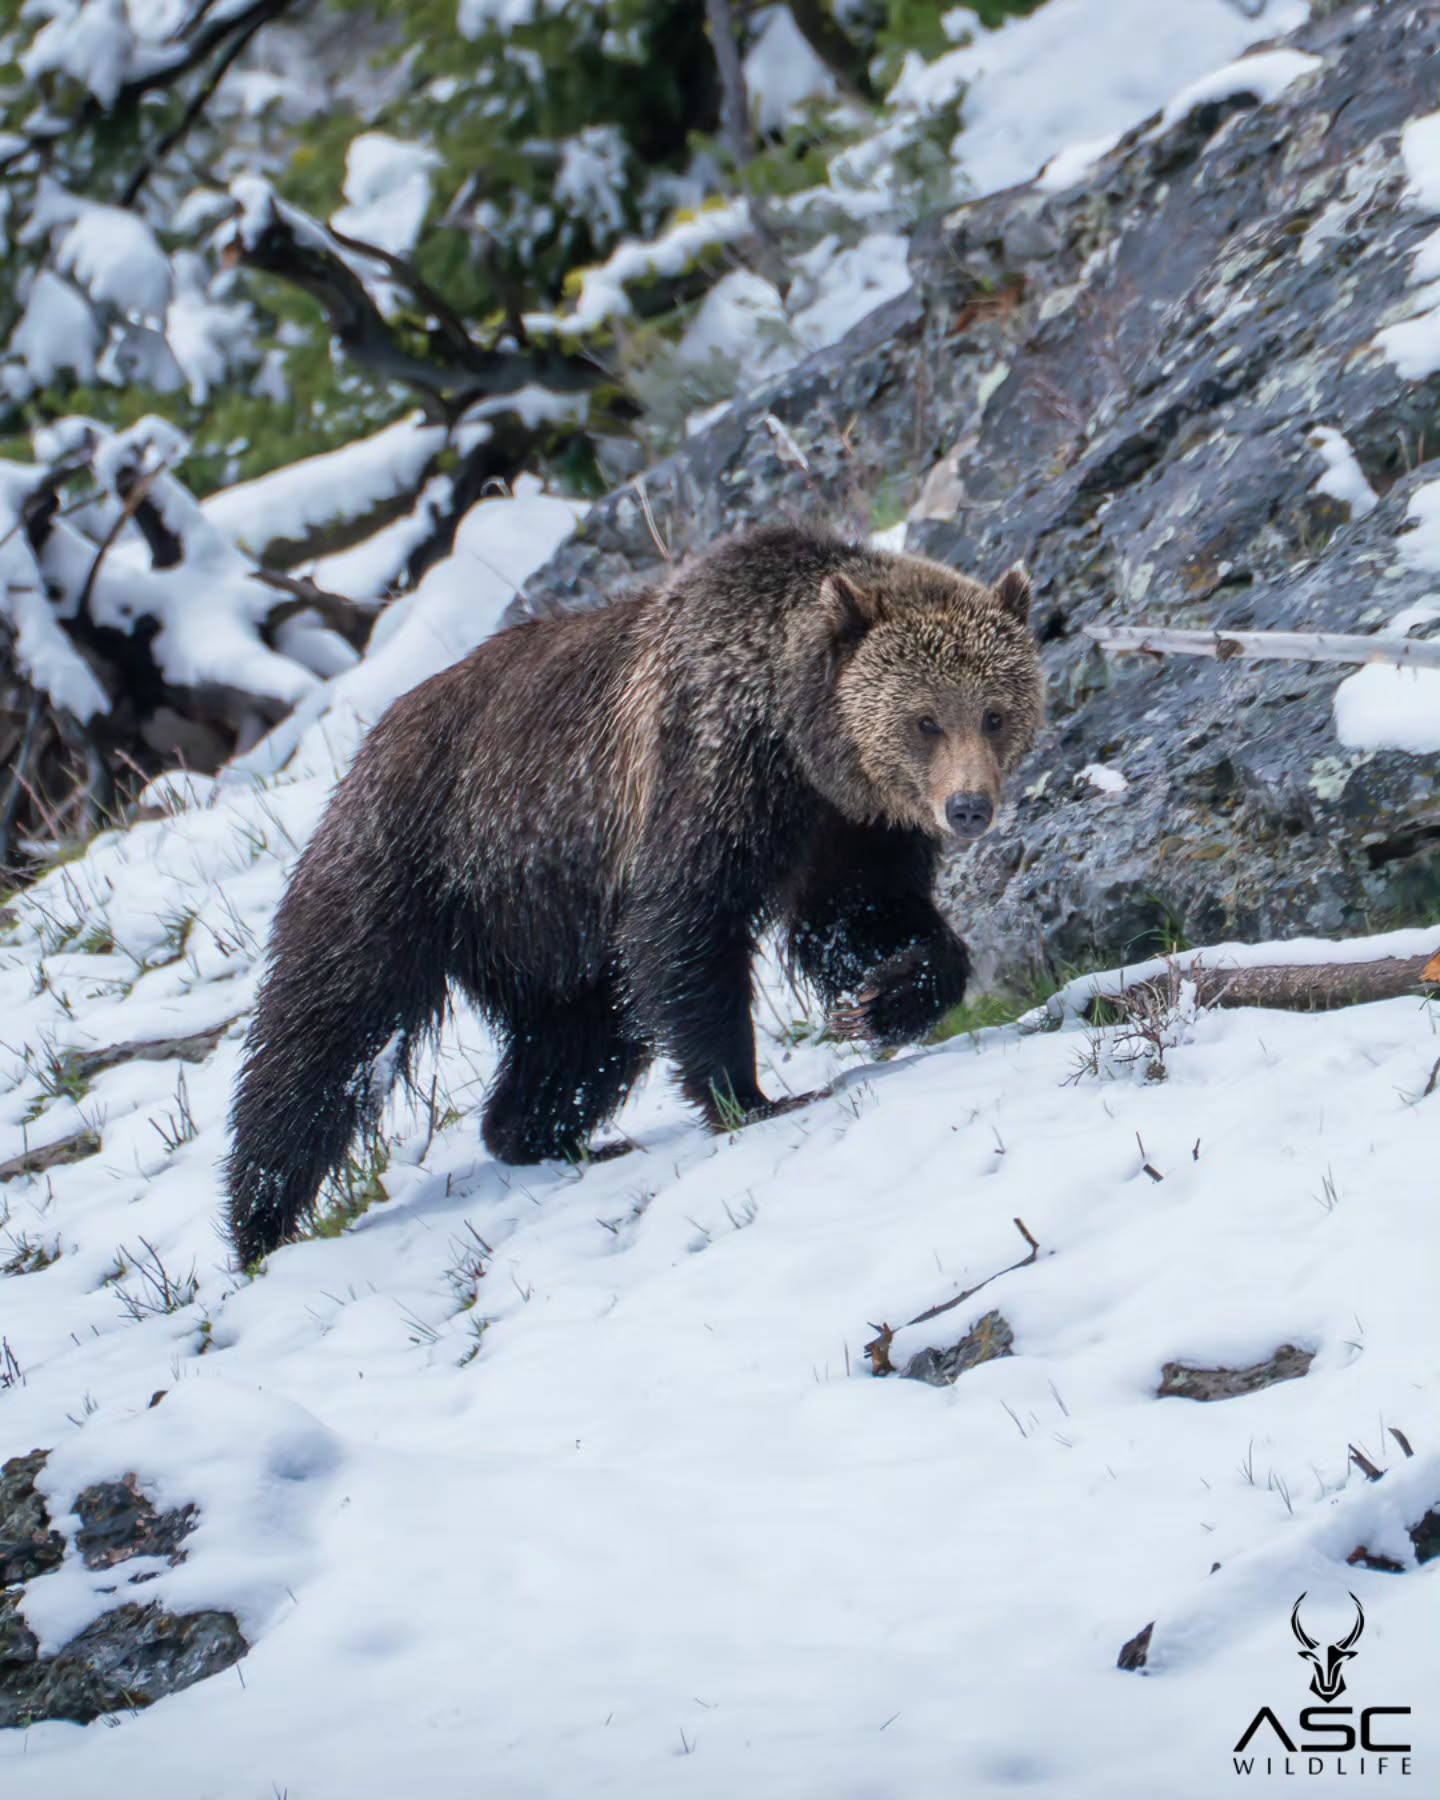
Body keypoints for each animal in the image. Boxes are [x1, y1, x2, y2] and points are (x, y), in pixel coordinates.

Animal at [225, 523, 1043, 1263]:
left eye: (995, 712)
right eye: (924, 720)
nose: (968, 808)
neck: (801, 742)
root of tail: (368, 740)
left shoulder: (851, 827)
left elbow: (863, 915)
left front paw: (883, 997)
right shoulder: (709, 777)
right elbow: (689, 928)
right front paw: (750, 1094)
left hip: (547, 921)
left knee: (582, 1037)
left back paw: (544, 1134)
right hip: (413, 861)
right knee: (326, 1032)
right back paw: (259, 1217)